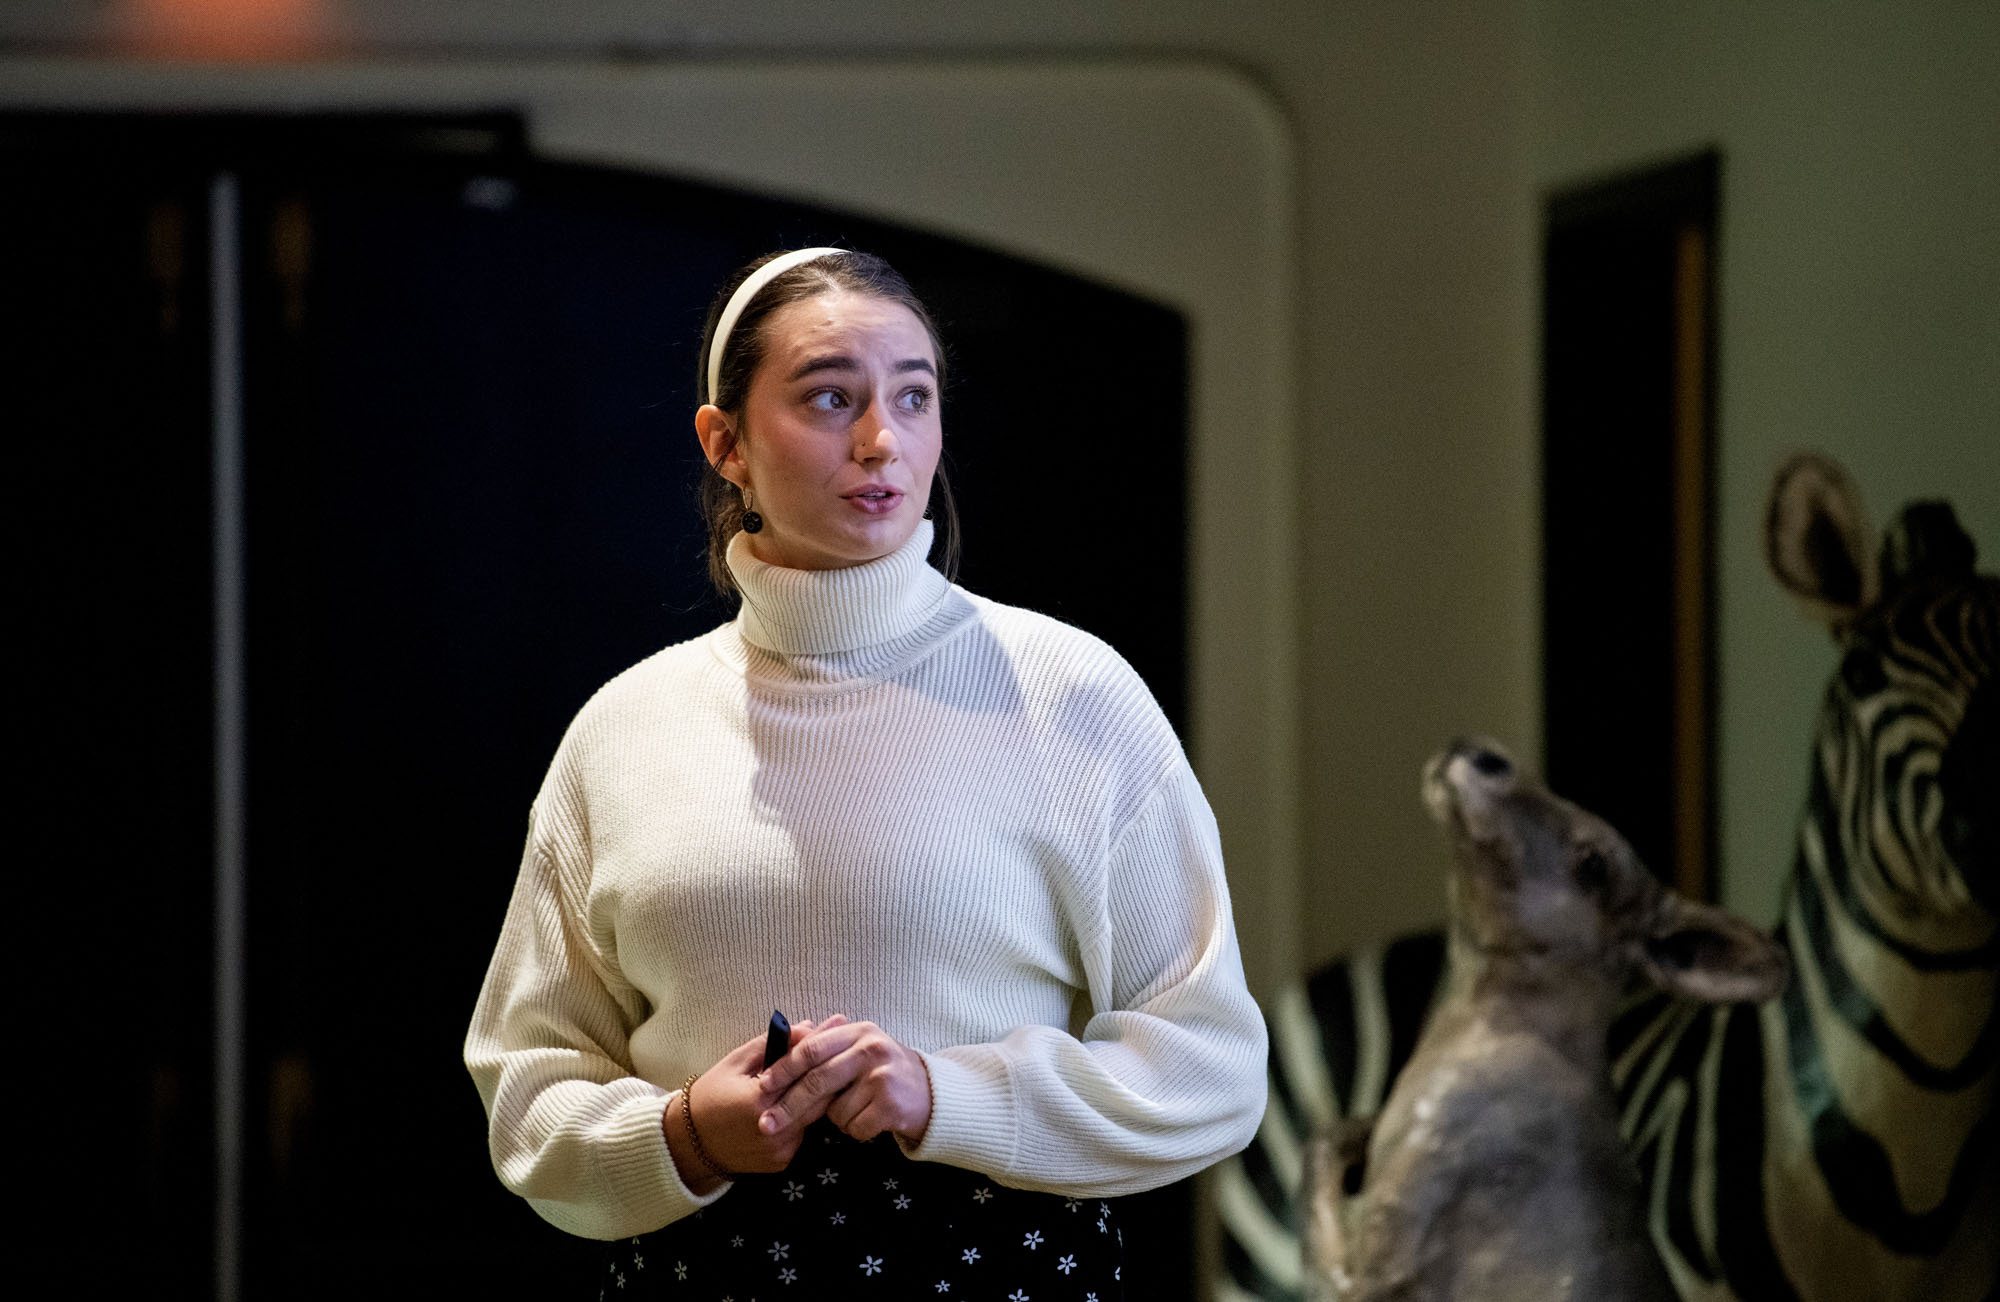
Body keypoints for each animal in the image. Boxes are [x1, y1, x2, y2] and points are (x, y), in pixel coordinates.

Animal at [1214, 453, 1997, 1301]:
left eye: (1594, 863)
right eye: (1860, 672)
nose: (1485, 752)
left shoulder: (1365, 1266)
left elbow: (1322, 1166)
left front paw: (1351, 1132)